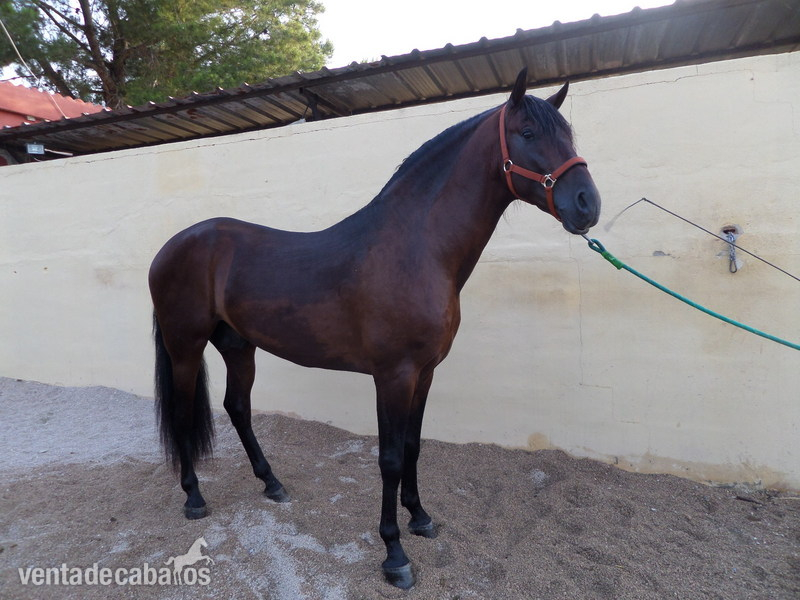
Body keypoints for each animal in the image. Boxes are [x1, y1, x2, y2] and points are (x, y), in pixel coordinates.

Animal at [148, 67, 600, 589]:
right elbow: (388, 459)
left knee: (237, 407)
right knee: (184, 413)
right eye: (527, 133)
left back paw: (273, 484)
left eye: (569, 136)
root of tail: (171, 248)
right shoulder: (393, 375)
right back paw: (194, 497)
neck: (416, 248)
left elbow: (412, 447)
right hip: (185, 347)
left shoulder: (424, 373)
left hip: (239, 345)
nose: (587, 204)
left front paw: (420, 518)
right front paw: (394, 554)